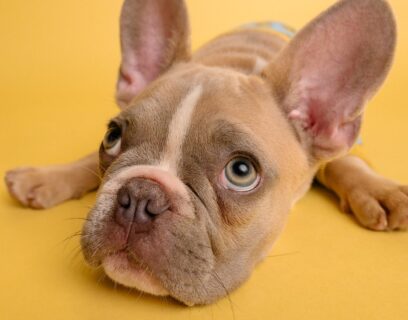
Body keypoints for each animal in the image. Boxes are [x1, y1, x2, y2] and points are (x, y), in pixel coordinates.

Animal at [3, 0, 408, 304]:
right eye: (112, 137)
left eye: (241, 172)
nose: (139, 196)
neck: (236, 64)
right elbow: (87, 161)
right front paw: (46, 178)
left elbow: (343, 163)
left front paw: (377, 191)